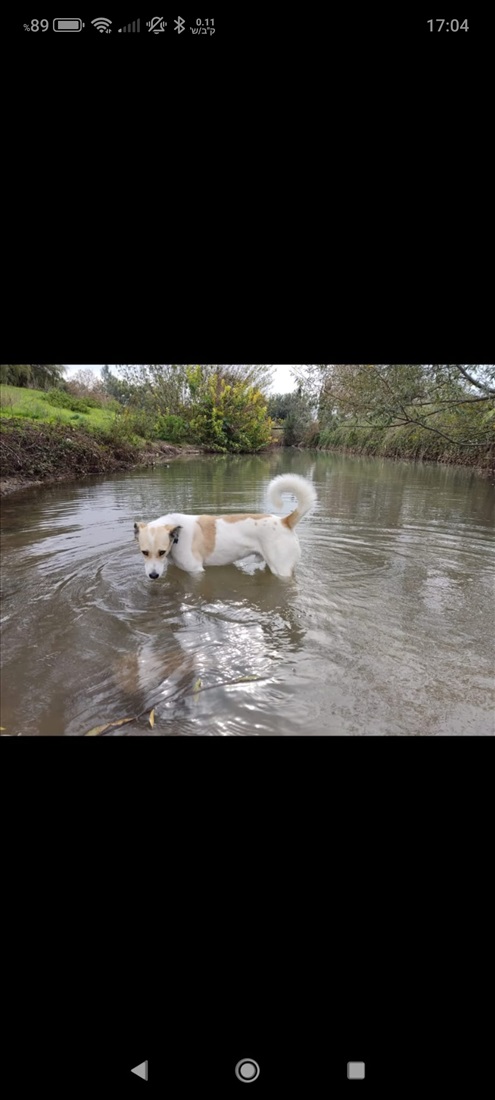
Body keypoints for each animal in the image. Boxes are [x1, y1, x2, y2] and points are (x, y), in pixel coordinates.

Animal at [133, 473, 314, 580]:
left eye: (161, 552)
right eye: (144, 552)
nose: (153, 575)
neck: (178, 535)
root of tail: (285, 521)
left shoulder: (196, 571)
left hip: (281, 571)